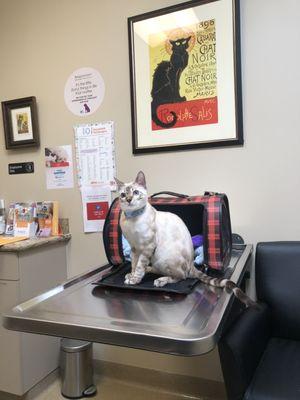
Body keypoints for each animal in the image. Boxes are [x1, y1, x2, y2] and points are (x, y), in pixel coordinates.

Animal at [115, 170, 258, 308]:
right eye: (123, 195)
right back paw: (149, 270)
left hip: (163, 257)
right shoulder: (134, 247)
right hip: (156, 259)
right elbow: (134, 264)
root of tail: (191, 264)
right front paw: (131, 275)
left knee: (181, 276)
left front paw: (135, 279)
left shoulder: (147, 246)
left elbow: (139, 266)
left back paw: (160, 280)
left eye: (135, 192)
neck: (132, 218)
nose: (128, 199)